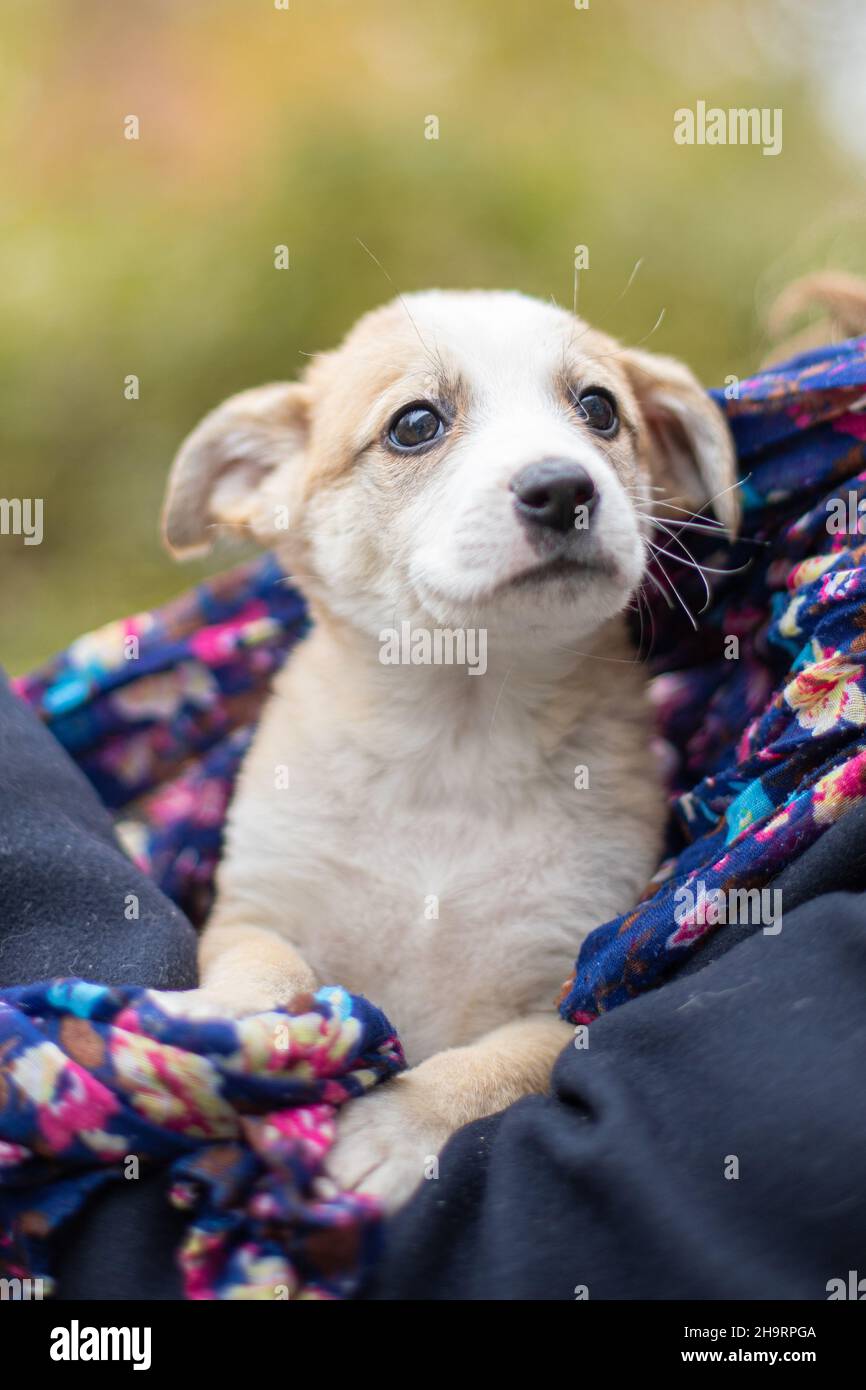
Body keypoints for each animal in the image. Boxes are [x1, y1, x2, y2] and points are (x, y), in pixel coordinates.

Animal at [161, 287, 739, 1212]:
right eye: (416, 424)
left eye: (599, 410)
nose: (563, 487)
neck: (456, 744)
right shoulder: (257, 909)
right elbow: (265, 969)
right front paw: (212, 1020)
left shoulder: (565, 1000)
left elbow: (493, 1065)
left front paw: (396, 1130)